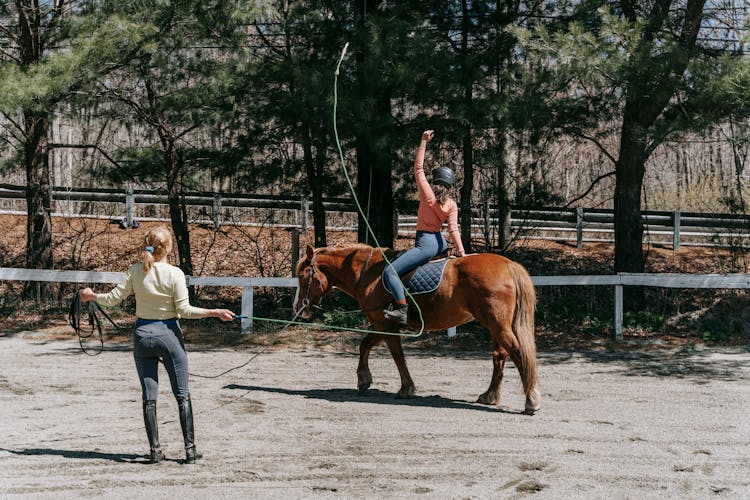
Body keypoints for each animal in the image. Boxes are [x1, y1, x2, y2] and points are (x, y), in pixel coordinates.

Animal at [294, 243, 540, 414]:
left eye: (303, 276)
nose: (298, 308)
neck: (369, 273)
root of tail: (508, 265)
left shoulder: (386, 324)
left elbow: (397, 356)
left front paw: (406, 388)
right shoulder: (382, 324)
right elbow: (365, 344)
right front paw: (364, 379)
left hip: (498, 326)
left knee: (517, 352)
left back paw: (531, 400)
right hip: (496, 327)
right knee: (500, 356)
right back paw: (490, 396)